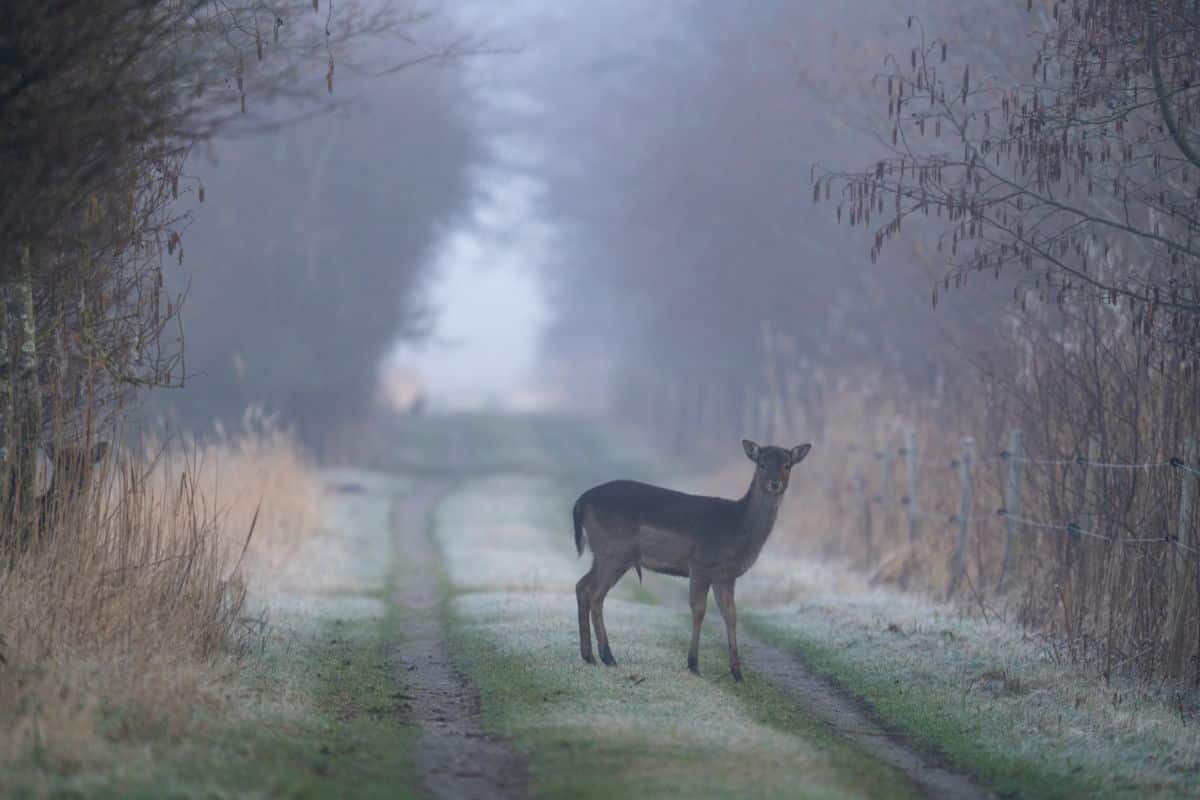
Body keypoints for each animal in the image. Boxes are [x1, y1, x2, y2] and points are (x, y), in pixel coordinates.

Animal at [572, 439, 811, 681]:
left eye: (788, 465)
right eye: (762, 463)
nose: (775, 483)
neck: (739, 529)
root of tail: (581, 502)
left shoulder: (725, 575)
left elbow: (731, 614)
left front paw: (737, 672)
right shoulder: (700, 563)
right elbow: (699, 610)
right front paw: (693, 664)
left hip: (603, 555)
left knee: (581, 586)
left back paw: (589, 655)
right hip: (614, 553)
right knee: (595, 594)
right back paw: (607, 656)